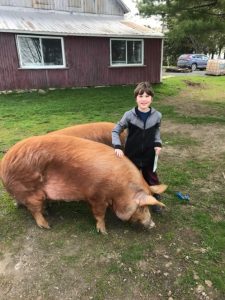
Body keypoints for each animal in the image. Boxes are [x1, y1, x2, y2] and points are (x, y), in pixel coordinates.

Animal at [0, 135, 167, 233]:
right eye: (142, 207)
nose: (153, 225)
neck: (120, 189)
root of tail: (4, 164)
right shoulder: (96, 196)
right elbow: (99, 214)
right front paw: (103, 232)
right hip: (30, 190)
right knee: (34, 210)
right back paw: (47, 225)